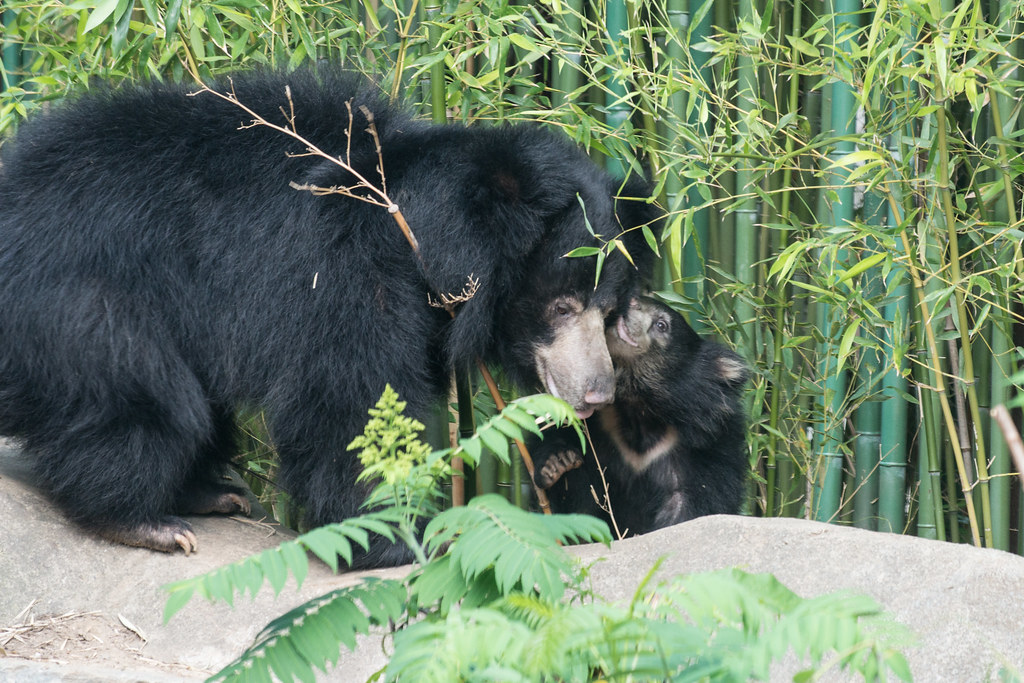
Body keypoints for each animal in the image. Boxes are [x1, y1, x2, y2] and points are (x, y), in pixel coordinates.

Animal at [0, 72, 655, 569]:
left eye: (608, 311)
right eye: (561, 307)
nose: (597, 393)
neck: (420, 228)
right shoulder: (345, 270)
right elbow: (347, 393)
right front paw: (394, 537)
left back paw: (211, 493)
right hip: (89, 297)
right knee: (145, 397)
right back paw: (143, 521)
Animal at [532, 296, 749, 536]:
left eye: (662, 325)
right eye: (640, 300)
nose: (632, 304)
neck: (637, 407)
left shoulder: (710, 446)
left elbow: (696, 499)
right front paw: (558, 463)